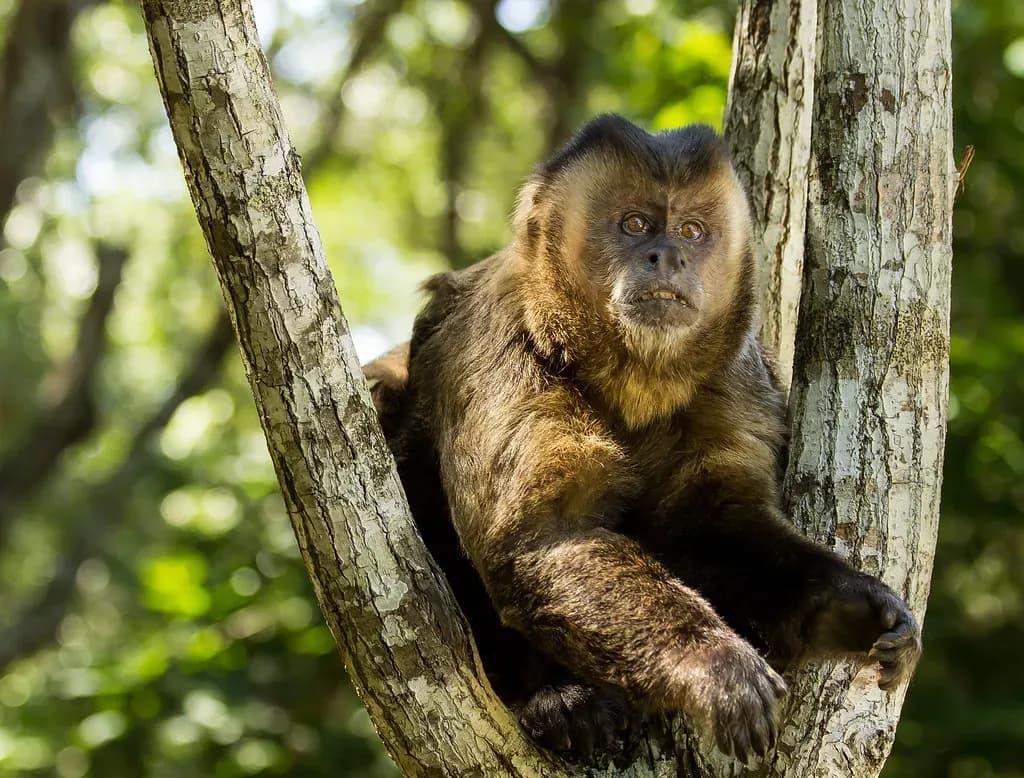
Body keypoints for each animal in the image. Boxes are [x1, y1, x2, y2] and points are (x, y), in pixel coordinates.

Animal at [363, 114, 922, 763]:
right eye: (635, 224)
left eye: (691, 230)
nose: (668, 255)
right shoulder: (498, 338)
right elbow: (545, 535)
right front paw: (712, 664)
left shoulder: (732, 372)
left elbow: (711, 523)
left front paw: (849, 608)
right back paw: (552, 701)